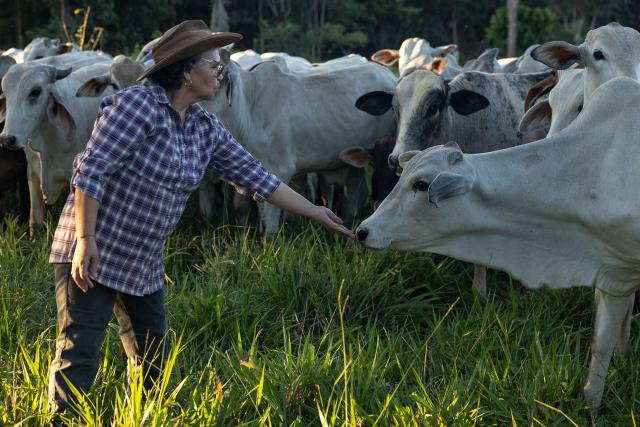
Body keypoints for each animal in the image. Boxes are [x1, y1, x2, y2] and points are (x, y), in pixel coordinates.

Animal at [355, 75, 640, 408]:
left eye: (421, 184)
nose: (363, 230)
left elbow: (604, 339)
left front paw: (592, 403)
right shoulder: (615, 269)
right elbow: (603, 337)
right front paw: (605, 380)